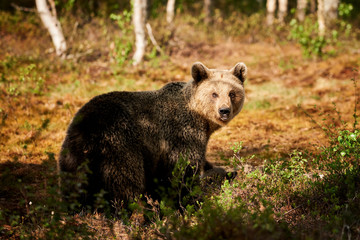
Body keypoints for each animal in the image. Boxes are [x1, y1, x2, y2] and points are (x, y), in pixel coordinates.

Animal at [59, 61, 248, 208]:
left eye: (232, 93)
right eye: (214, 93)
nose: (224, 110)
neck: (200, 119)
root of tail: (88, 125)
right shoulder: (181, 134)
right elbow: (183, 169)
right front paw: (191, 200)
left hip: (75, 150)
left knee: (75, 183)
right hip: (119, 144)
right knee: (124, 181)